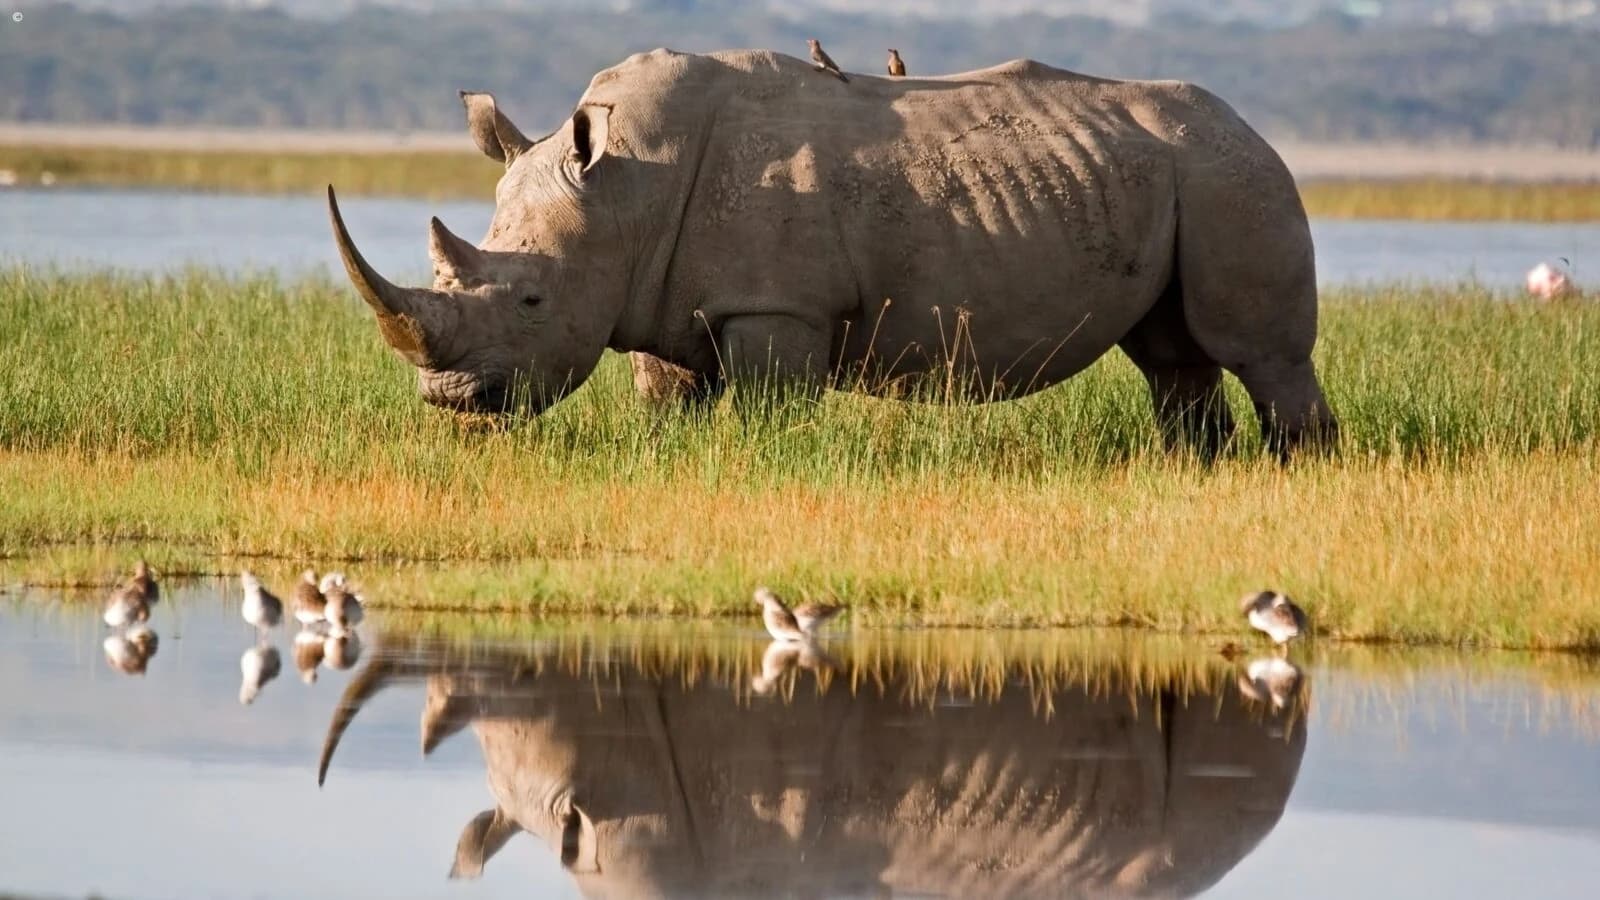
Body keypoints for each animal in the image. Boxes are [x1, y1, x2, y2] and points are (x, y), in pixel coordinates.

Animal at [328, 49, 1337, 455]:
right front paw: (670, 457)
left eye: (532, 302)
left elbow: (769, 410)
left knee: (1261, 354)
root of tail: (1252, 127)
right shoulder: (657, 297)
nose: (452, 402)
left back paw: (1298, 469)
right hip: (1183, 176)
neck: (623, 192)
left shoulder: (778, 307)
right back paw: (1195, 469)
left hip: (1234, 177)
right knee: (1173, 358)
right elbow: (669, 401)